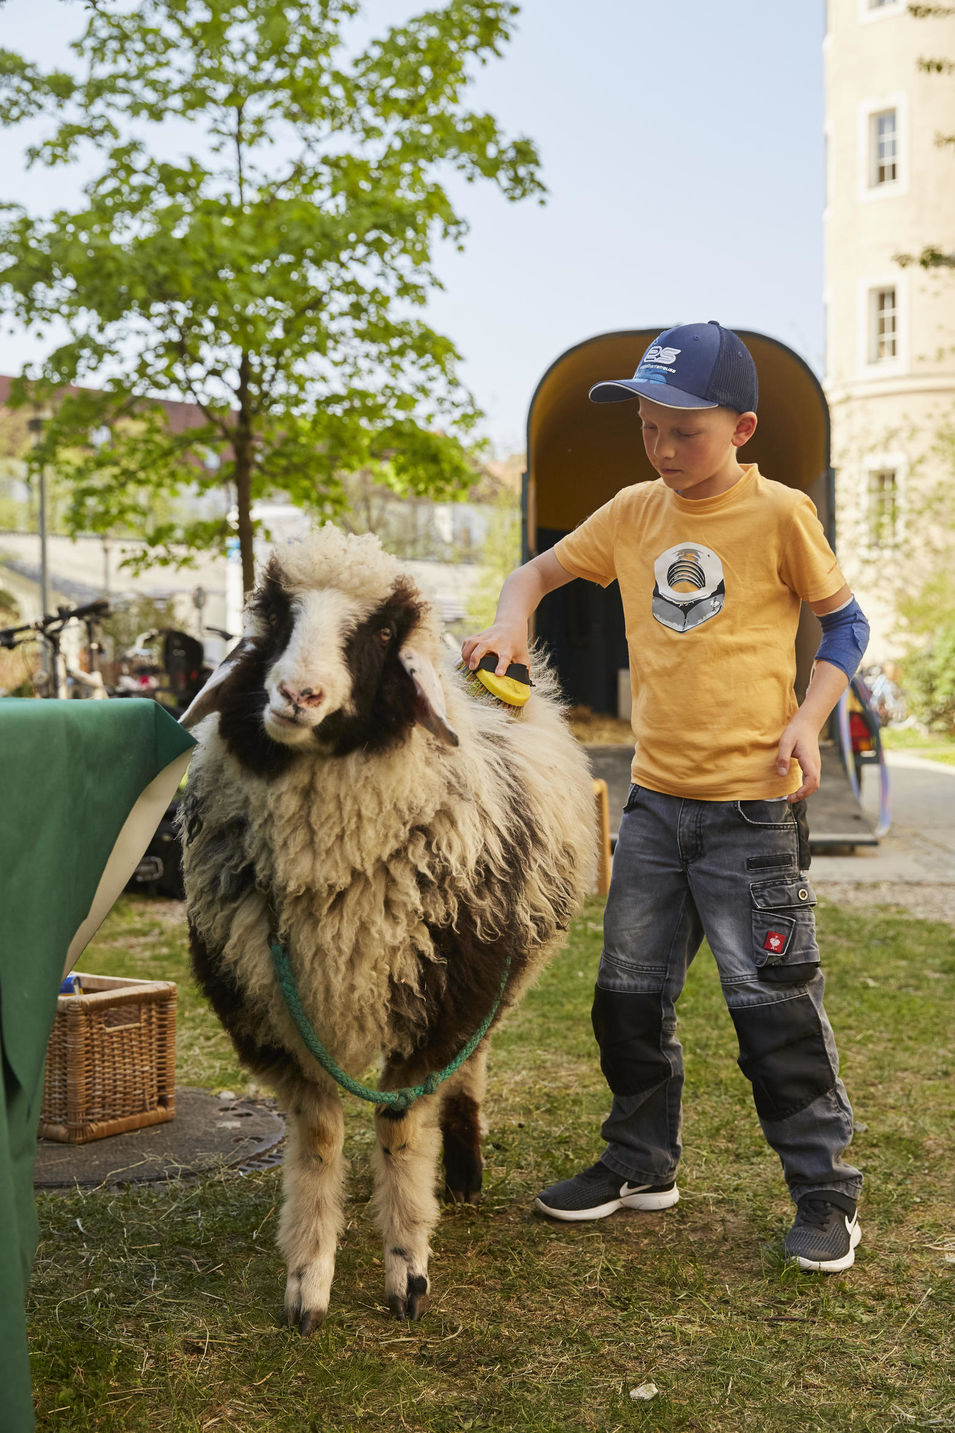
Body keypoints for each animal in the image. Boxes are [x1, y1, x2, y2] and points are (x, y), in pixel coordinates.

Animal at [177, 527, 590, 1329]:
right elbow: (317, 1134)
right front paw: (308, 1279)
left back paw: (460, 1169)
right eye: (276, 618)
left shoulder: (443, 996)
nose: (296, 695)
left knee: (468, 1070)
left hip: (489, 976)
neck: (324, 870)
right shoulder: (273, 1009)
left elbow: (400, 1128)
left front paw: (407, 1268)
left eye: (376, 634)